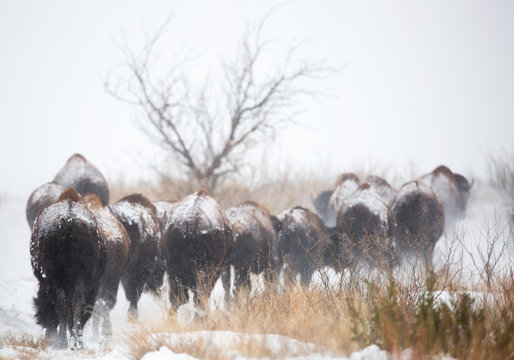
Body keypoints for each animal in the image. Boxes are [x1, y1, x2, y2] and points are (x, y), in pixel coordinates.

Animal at [30, 188, 106, 348]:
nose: (42, 320)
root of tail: (70, 220)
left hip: (55, 278)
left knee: (63, 303)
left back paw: (62, 341)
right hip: (80, 279)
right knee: (76, 302)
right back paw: (76, 341)